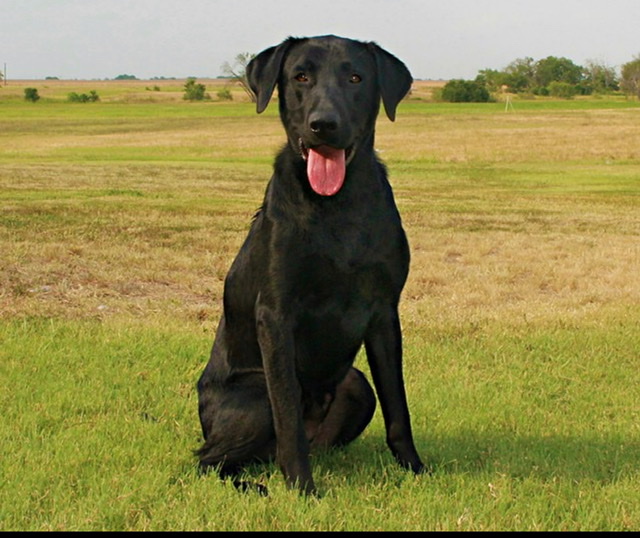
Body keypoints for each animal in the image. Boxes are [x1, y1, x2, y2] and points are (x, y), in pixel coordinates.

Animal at [195, 34, 424, 494]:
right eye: (300, 76)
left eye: (355, 78)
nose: (324, 125)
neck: (336, 206)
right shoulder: (275, 315)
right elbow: (288, 418)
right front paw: (302, 488)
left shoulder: (384, 312)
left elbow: (398, 407)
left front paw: (414, 468)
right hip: (255, 394)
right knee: (207, 460)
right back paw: (255, 484)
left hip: (355, 384)